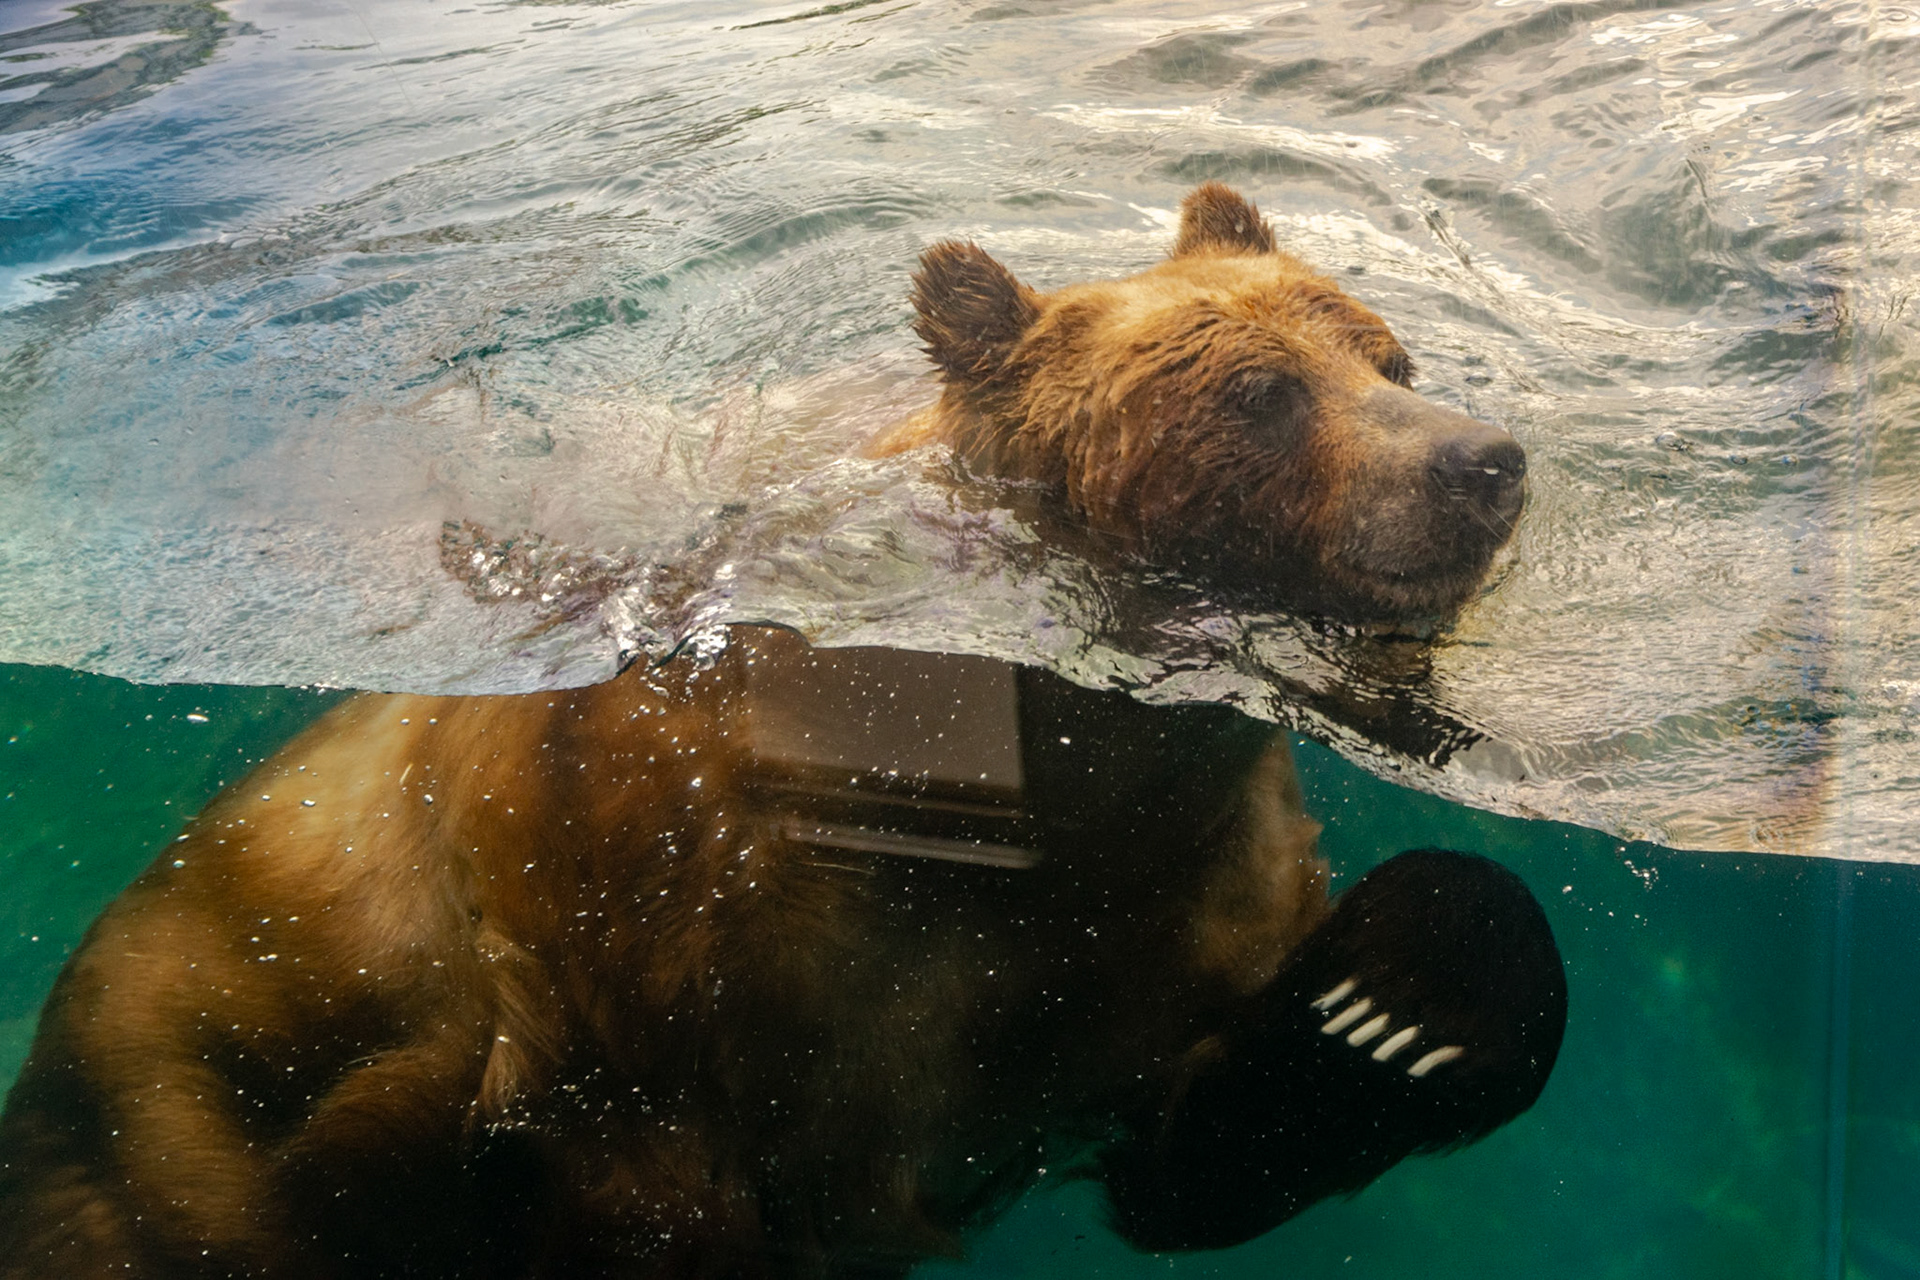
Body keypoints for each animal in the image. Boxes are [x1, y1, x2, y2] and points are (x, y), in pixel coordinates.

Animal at [0, 186, 1559, 1278]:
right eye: (1259, 390)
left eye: (1388, 354)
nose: (1482, 461)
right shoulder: (674, 926)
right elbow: (645, 1173)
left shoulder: (1139, 927)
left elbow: (1211, 1139)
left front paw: (1401, 1000)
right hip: (160, 1104)